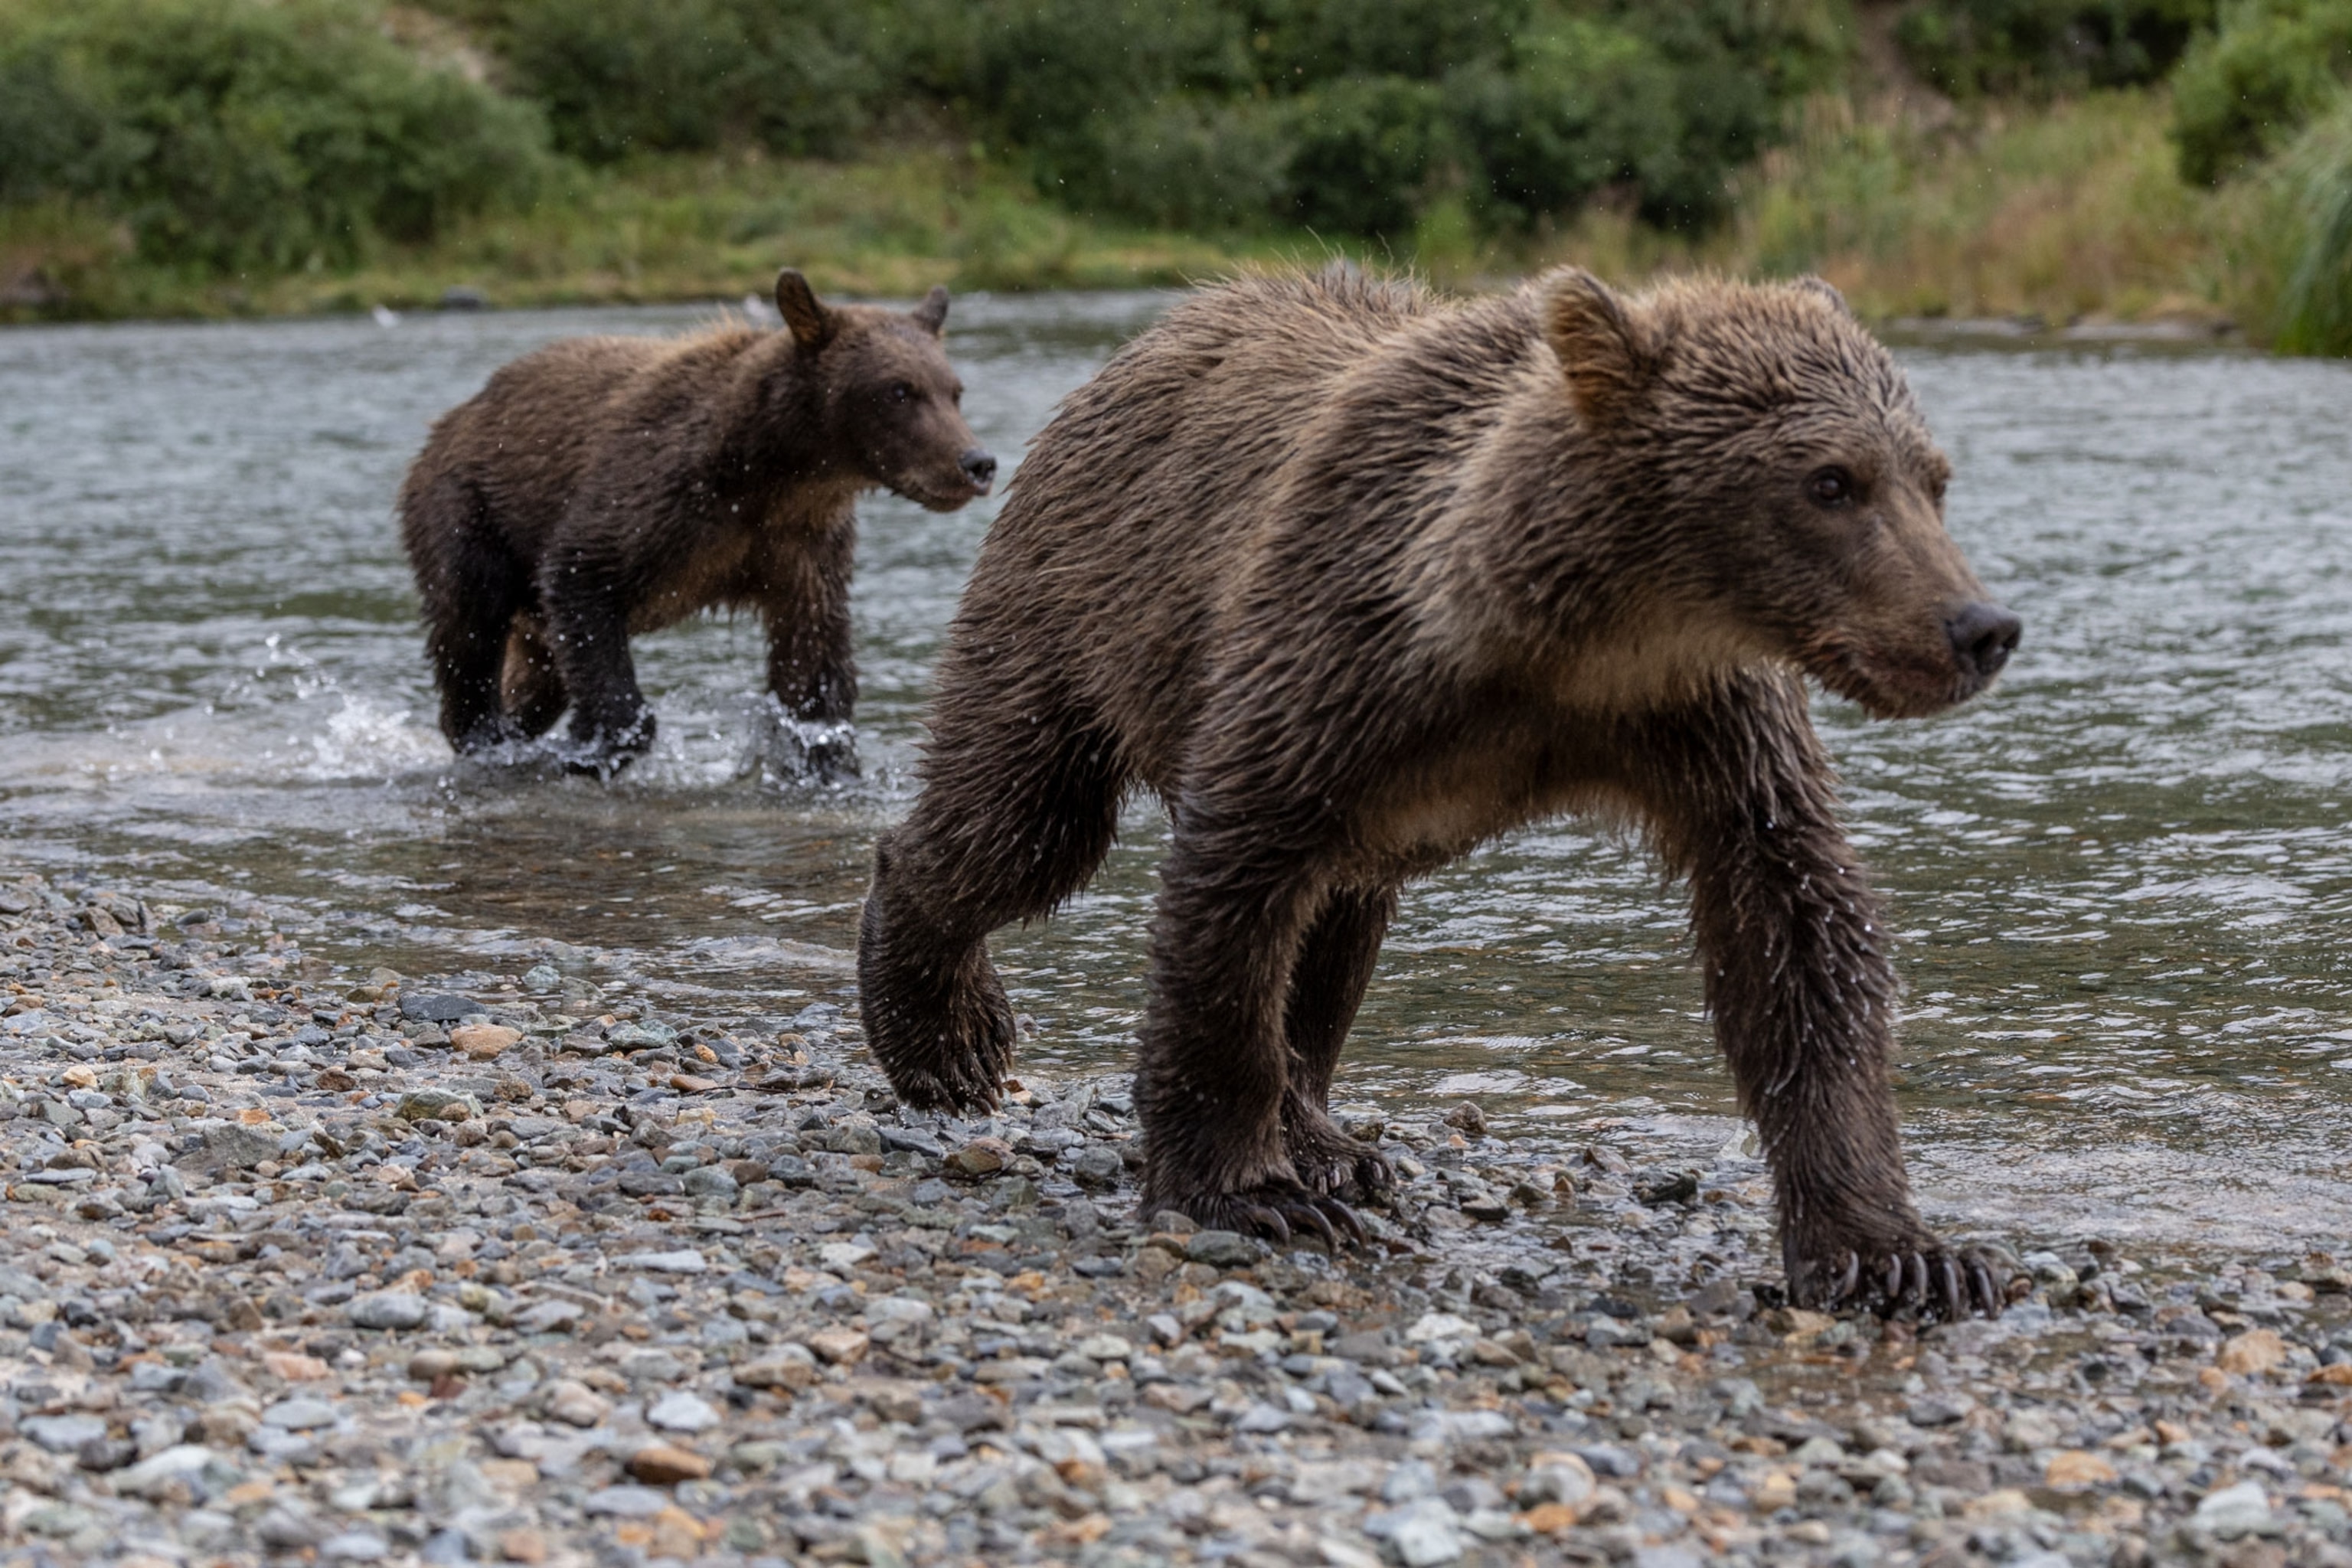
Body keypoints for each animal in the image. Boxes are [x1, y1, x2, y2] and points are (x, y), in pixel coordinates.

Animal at [397, 268, 995, 774]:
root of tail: (451, 418)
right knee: (470, 622)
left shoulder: (800, 545)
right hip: (467, 509)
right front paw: (596, 745)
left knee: (538, 675)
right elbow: (581, 573)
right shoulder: (663, 497)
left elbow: (814, 657)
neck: (775, 473)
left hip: (530, 610)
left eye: (954, 390)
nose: (976, 462)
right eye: (898, 390)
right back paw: (488, 736)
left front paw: (827, 761)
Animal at [856, 265, 2024, 1318]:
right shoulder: (1333, 656)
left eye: (1932, 477)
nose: (1980, 627)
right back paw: (942, 1031)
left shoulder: (1707, 726)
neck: (1567, 644)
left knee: (1332, 931)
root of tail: (1145, 340)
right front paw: (1246, 1192)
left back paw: (1328, 1140)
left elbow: (1796, 931)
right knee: (1022, 821)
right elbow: (1233, 890)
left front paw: (1899, 1254)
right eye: (1830, 481)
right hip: (1080, 606)